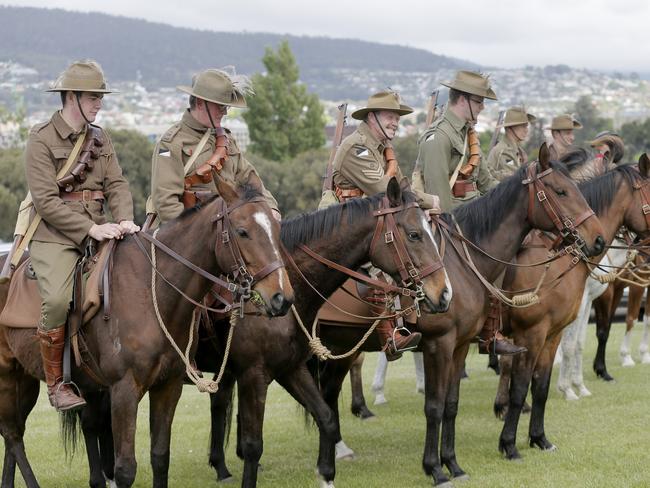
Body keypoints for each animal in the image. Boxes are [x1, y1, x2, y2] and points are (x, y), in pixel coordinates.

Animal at [0, 174, 292, 488]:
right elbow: (125, 469)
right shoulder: (124, 390)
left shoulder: (168, 386)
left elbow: (160, 457)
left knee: (16, 433)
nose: (282, 298)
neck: (151, 294)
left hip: (27, 379)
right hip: (8, 377)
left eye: (277, 229)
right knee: (13, 434)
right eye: (242, 231)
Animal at [308, 149, 604, 484]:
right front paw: (440, 467)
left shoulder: (471, 345)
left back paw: (337, 451)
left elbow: (455, 404)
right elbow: (439, 406)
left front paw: (455, 463)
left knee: (328, 394)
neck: (464, 264)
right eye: (561, 191)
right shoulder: (449, 344)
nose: (597, 239)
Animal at [494, 157, 648, 462]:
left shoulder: (553, 331)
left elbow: (541, 383)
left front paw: (539, 438)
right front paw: (509, 443)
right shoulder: (533, 333)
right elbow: (526, 382)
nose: (598, 241)